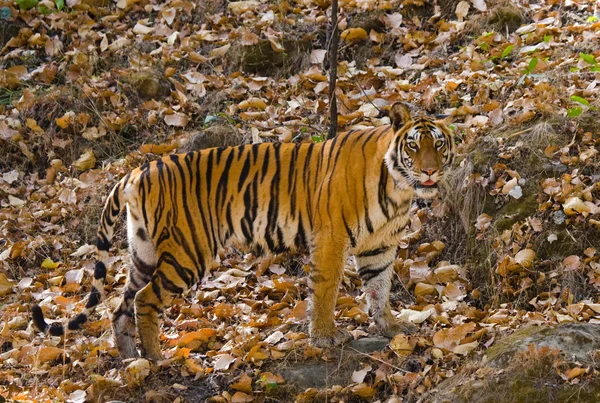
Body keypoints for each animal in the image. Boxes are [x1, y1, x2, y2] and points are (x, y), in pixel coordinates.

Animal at [31, 103, 454, 360]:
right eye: (413, 146)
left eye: (439, 144)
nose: (431, 171)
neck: (398, 191)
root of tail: (138, 170)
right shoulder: (331, 240)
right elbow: (326, 291)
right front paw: (324, 337)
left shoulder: (379, 245)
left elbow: (379, 288)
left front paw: (391, 326)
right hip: (188, 252)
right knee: (145, 300)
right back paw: (157, 357)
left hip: (144, 252)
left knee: (122, 303)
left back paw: (130, 359)